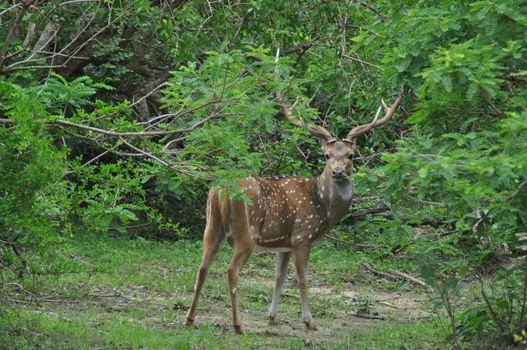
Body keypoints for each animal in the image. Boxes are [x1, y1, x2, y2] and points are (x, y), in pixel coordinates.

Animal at [186, 88, 404, 334]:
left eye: (351, 155)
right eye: (327, 155)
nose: (337, 172)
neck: (323, 206)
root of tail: (221, 190)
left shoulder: (284, 244)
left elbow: (279, 277)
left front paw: (271, 316)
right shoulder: (302, 237)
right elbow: (302, 279)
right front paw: (309, 321)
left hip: (212, 227)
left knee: (202, 267)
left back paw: (190, 319)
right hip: (245, 233)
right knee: (231, 270)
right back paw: (238, 325)